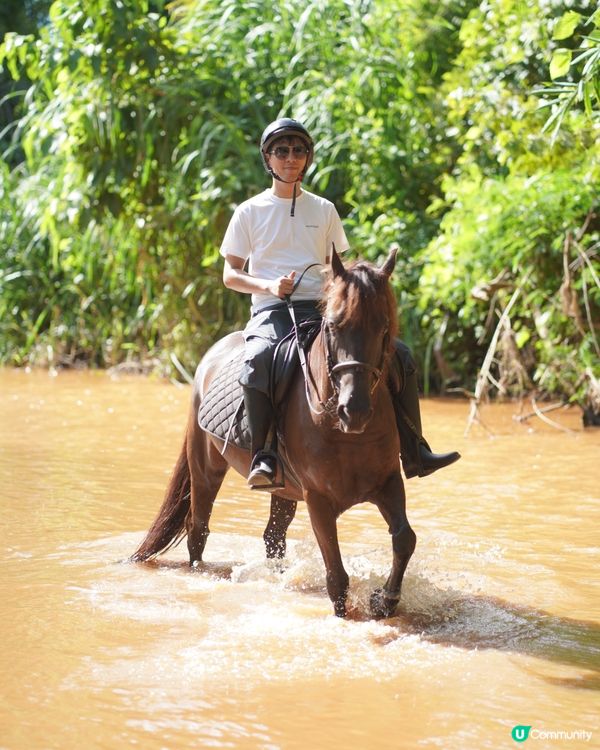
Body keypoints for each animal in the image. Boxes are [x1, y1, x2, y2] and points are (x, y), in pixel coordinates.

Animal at [131, 248, 416, 618]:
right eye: (334, 325)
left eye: (383, 327)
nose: (354, 411)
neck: (345, 433)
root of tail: (210, 356)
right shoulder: (318, 498)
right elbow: (337, 577)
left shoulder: (388, 482)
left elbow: (404, 538)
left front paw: (385, 599)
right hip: (206, 469)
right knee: (198, 529)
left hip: (283, 489)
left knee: (272, 537)